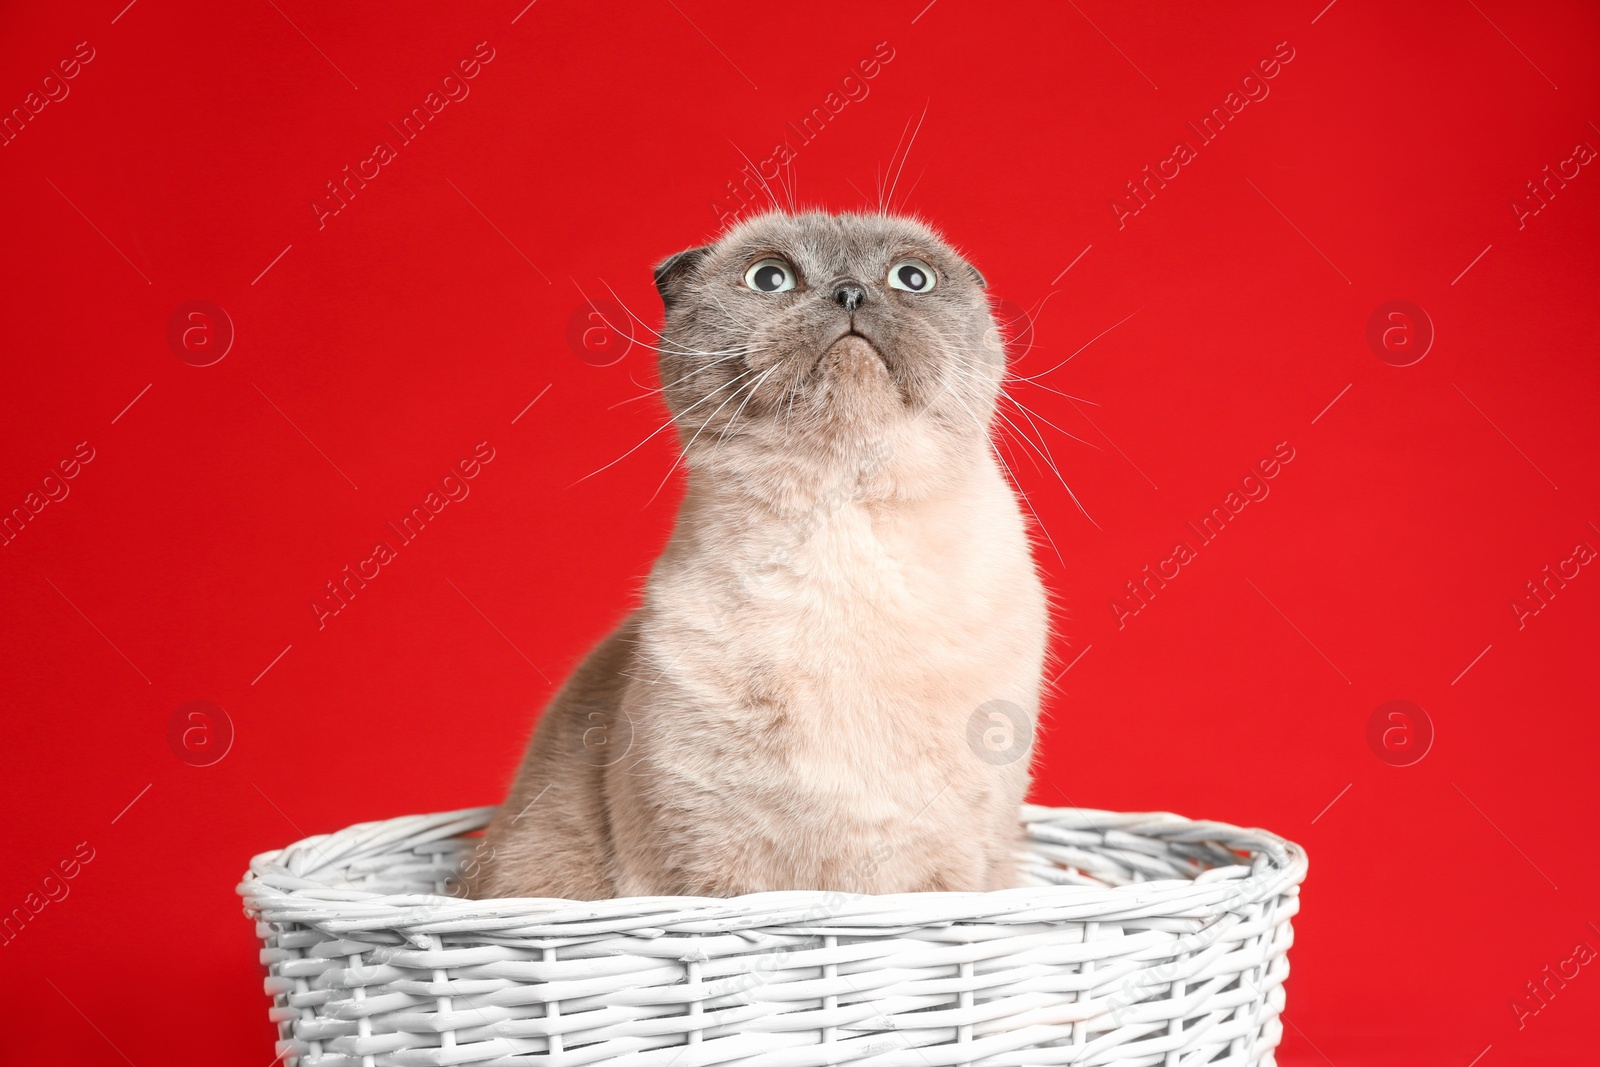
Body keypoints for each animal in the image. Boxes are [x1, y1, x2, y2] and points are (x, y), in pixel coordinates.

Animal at [467, 207, 1049, 902]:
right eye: (770, 278)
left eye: (912, 278)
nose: (850, 293)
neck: (839, 518)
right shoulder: (703, 874)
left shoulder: (957, 874)